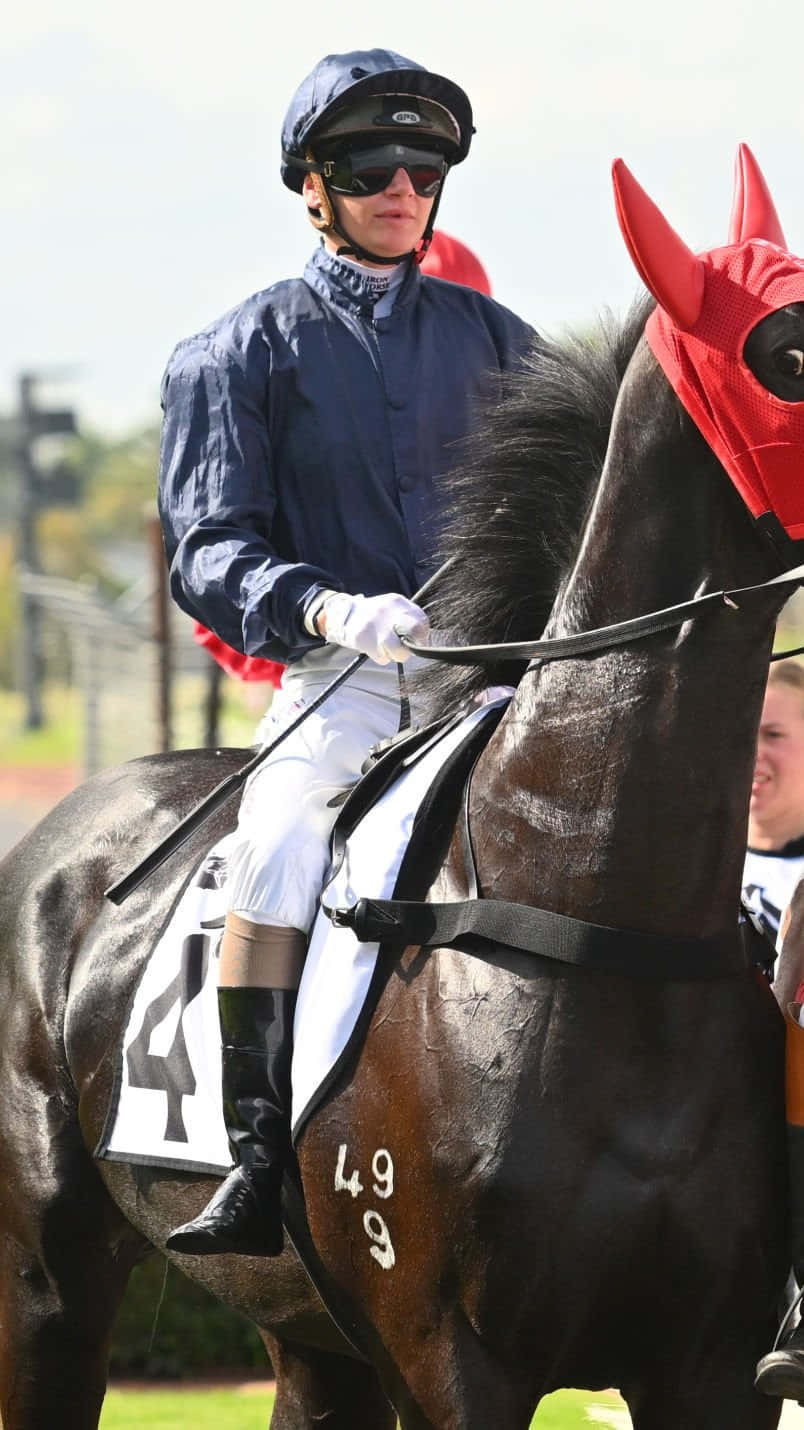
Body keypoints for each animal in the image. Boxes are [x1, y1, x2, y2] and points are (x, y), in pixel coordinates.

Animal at [0, 148, 795, 1430]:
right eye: (788, 353)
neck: (586, 906)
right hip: (49, 1264)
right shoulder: (451, 1356)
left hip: (306, 1330)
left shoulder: (715, 1362)